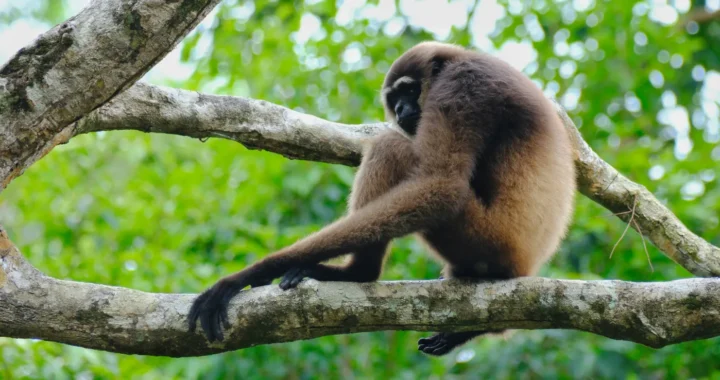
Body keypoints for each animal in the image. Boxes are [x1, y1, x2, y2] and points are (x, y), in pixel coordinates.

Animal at [188, 41, 576, 356]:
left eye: (409, 90)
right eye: (394, 100)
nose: (402, 110)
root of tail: (525, 263)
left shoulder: (464, 84)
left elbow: (442, 186)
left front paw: (247, 275)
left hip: (486, 239)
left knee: (390, 147)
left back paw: (359, 273)